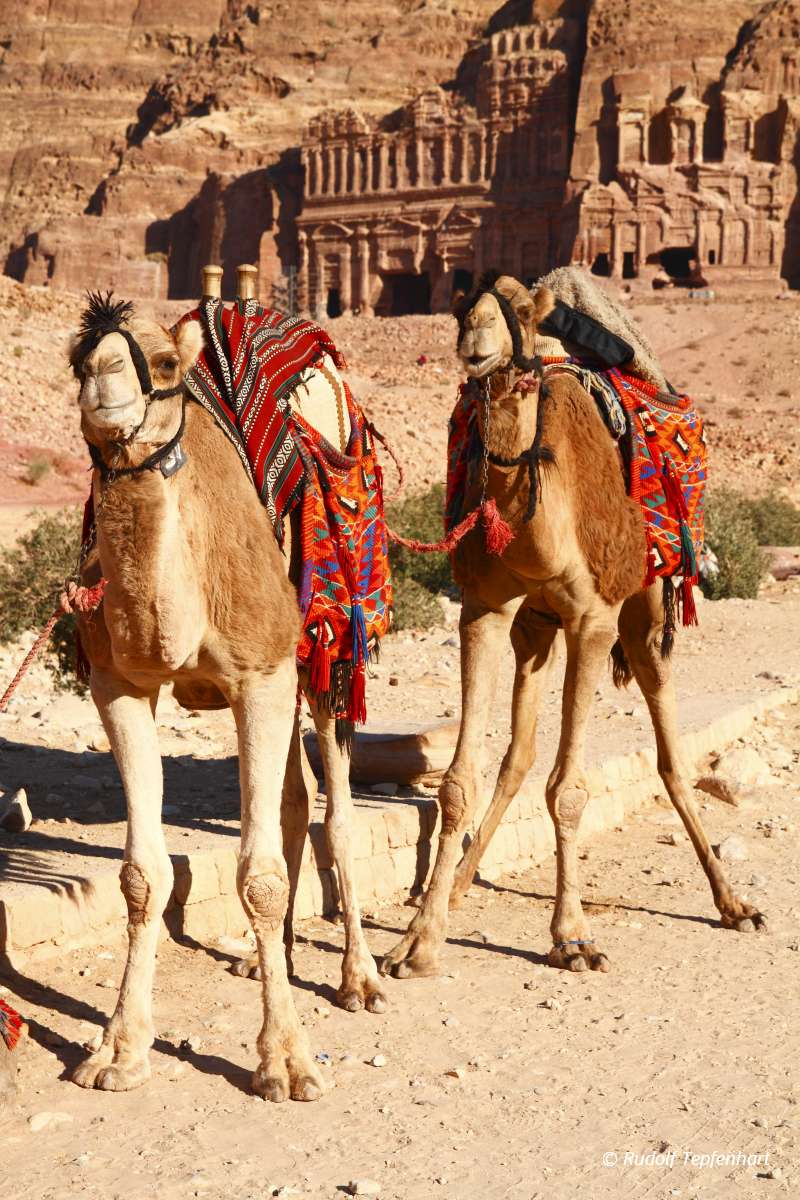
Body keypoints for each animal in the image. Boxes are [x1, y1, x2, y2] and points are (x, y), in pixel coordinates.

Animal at [69, 295, 385, 1103]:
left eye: (163, 363)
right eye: (76, 363)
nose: (103, 378)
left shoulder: (262, 673)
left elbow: (260, 877)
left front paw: (287, 1063)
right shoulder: (117, 684)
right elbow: (141, 876)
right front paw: (118, 1050)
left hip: (327, 646)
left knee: (337, 812)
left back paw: (360, 978)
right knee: (294, 801)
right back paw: (261, 956)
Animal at [381, 272, 766, 981]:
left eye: (521, 314)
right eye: (461, 307)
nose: (475, 338)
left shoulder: (592, 619)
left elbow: (569, 791)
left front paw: (572, 937)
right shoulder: (485, 610)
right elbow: (459, 783)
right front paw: (417, 941)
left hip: (642, 613)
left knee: (671, 756)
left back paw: (734, 903)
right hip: (535, 627)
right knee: (518, 755)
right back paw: (461, 883)